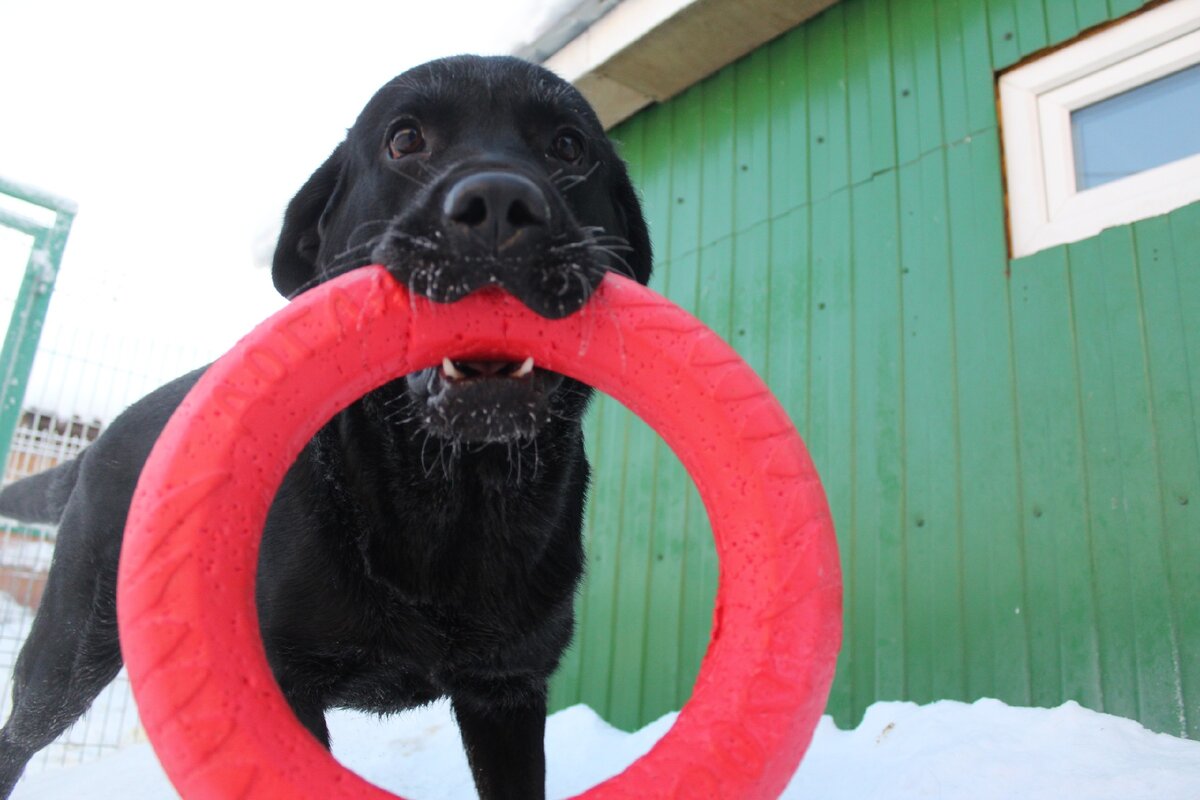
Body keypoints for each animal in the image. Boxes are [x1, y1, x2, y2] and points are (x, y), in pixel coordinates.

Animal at [0, 53, 648, 796]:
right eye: (405, 139)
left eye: (568, 146)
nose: (499, 207)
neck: (450, 498)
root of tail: (100, 441)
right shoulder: (281, 683)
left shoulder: (507, 691)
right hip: (68, 650)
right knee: (19, 734)